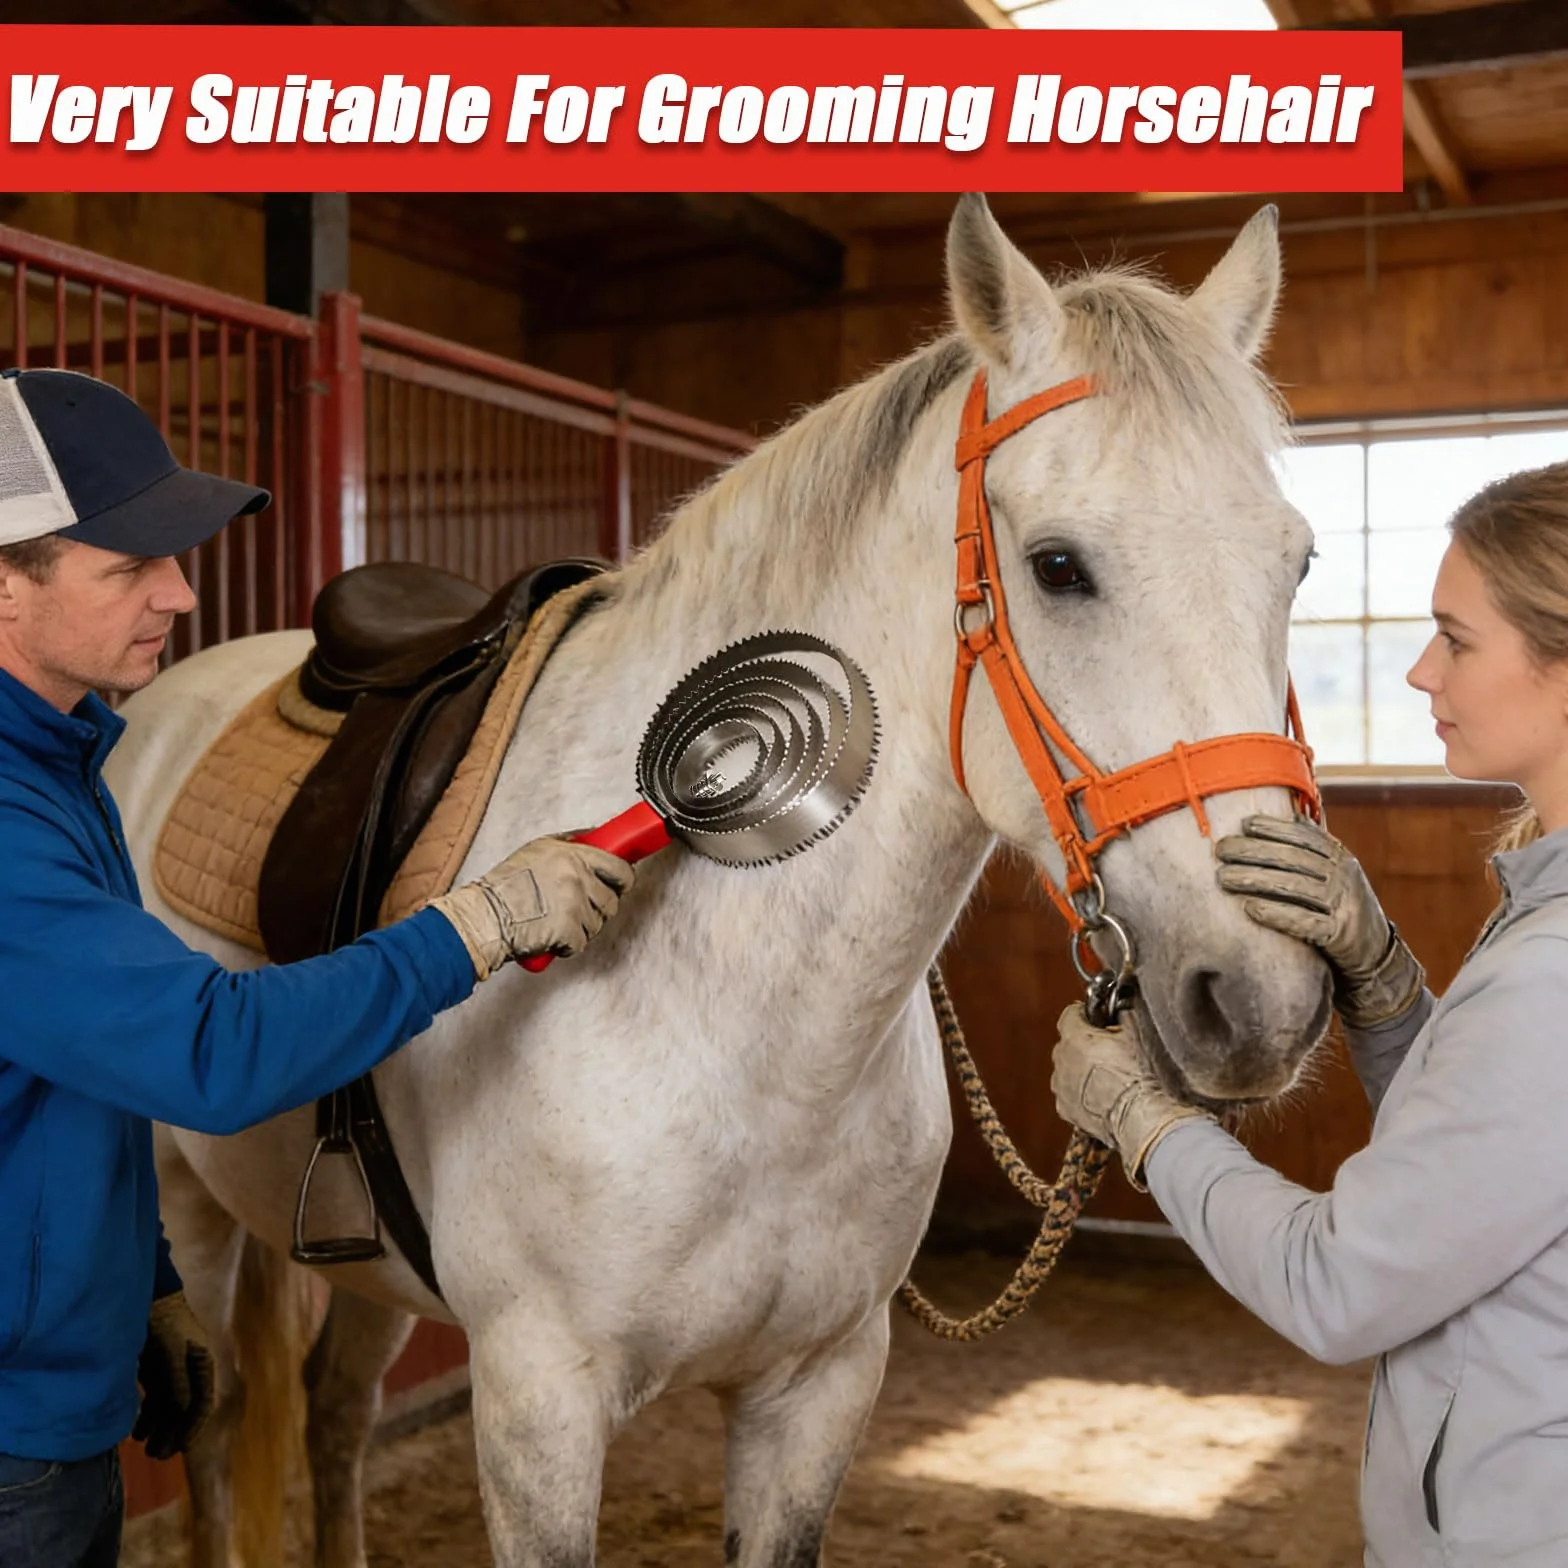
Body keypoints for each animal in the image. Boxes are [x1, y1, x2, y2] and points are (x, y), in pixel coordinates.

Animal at [106, 193, 1330, 1568]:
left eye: (1293, 563)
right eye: (1059, 565)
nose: (1266, 996)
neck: (745, 1030)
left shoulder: (818, 1387)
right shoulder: (535, 1400)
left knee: (330, 1416)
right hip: (187, 1219)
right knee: (215, 1422)